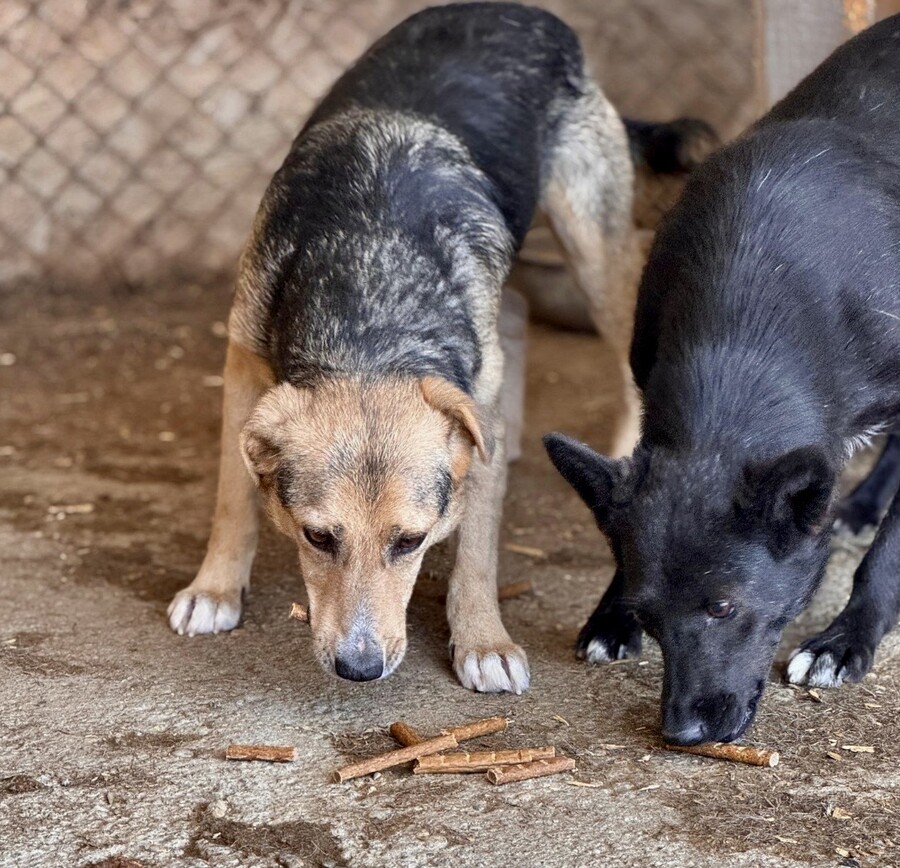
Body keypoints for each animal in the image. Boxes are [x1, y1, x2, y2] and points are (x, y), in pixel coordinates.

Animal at [167, 2, 713, 693]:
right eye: (317, 538)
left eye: (410, 542)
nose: (359, 668)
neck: (372, 311)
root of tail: (522, 11)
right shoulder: (242, 359)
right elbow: (232, 496)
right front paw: (215, 588)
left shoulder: (468, 406)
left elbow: (476, 548)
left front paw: (484, 641)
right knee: (518, 310)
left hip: (594, 249)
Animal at [545, 15, 900, 737]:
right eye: (649, 613)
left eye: (724, 607)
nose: (682, 733)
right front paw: (610, 613)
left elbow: (890, 555)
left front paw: (846, 640)